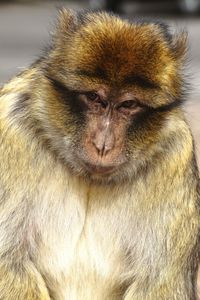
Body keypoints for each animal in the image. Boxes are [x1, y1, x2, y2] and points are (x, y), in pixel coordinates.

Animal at [0, 8, 199, 300]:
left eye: (128, 105)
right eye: (95, 98)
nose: (103, 145)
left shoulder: (176, 154)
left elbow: (159, 282)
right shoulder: (10, 128)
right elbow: (8, 262)